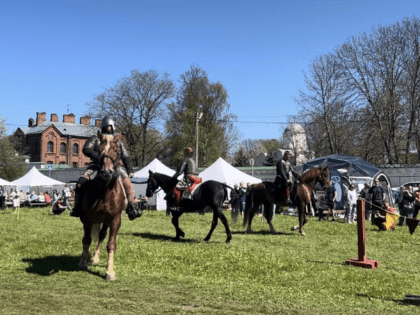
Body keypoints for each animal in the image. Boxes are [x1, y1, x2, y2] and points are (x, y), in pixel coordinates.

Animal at [76, 133, 127, 282]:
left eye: (116, 150)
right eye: (99, 150)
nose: (107, 172)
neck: (105, 192)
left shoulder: (115, 219)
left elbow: (111, 244)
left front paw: (109, 271)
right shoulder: (88, 219)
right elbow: (86, 240)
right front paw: (82, 262)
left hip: (105, 221)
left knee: (102, 235)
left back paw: (95, 257)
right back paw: (88, 256)